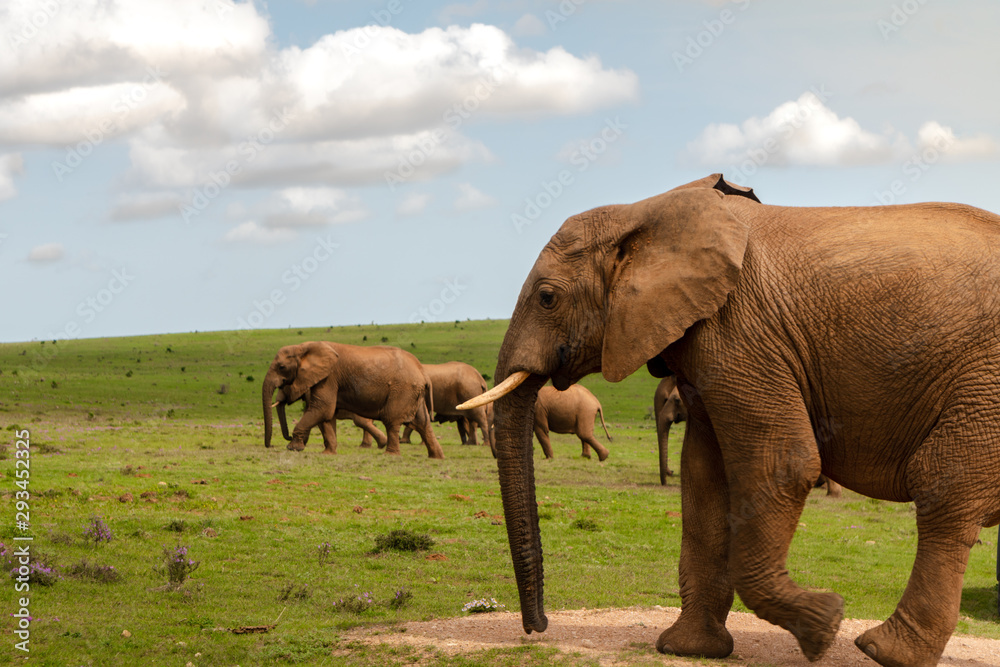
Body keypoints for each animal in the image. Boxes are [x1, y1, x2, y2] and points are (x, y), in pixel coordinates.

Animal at [262, 340, 442, 460]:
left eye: (281, 367)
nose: (270, 445)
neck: (304, 346)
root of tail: (422, 371)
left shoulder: (329, 377)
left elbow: (322, 409)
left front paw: (293, 448)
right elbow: (327, 416)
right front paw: (328, 453)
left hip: (403, 389)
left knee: (391, 420)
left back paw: (390, 455)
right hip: (414, 392)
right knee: (423, 423)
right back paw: (437, 457)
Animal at [458, 175, 1000, 667]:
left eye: (547, 297)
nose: (539, 627)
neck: (647, 209)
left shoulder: (740, 330)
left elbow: (783, 464)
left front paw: (825, 624)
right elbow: (704, 475)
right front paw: (689, 649)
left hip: (982, 384)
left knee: (943, 487)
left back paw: (883, 651)